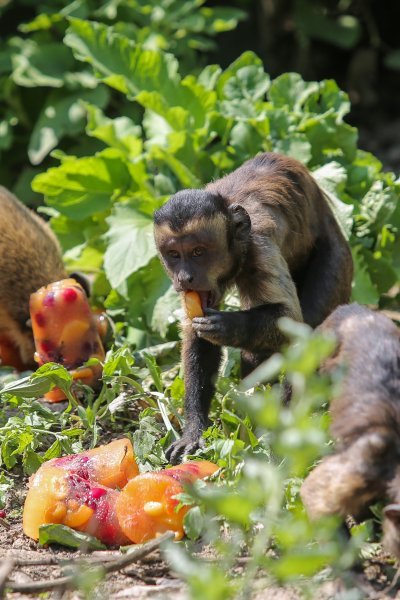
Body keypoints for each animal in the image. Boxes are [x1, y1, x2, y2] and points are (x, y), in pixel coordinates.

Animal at [153, 152, 354, 462]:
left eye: (198, 252)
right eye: (174, 255)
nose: (184, 277)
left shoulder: (260, 245)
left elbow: (289, 322)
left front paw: (228, 325)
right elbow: (197, 338)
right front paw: (194, 430)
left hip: (338, 260)